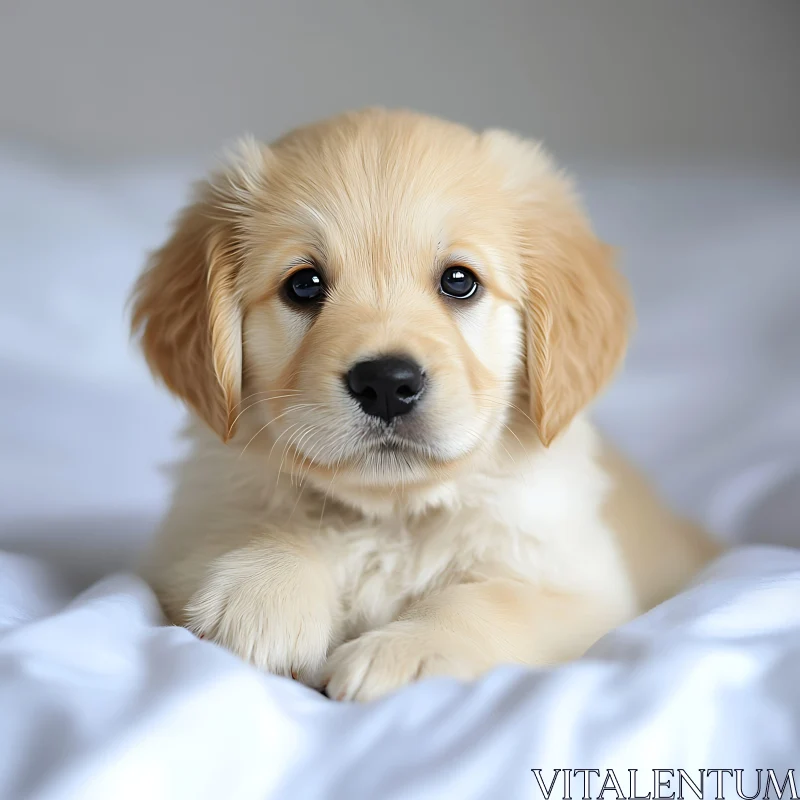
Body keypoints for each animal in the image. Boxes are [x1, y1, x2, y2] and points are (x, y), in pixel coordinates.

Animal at [131, 108, 720, 700]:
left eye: (460, 280)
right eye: (304, 285)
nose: (386, 383)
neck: (393, 517)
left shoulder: (584, 589)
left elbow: (492, 600)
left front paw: (404, 651)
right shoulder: (183, 536)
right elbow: (260, 528)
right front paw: (263, 598)